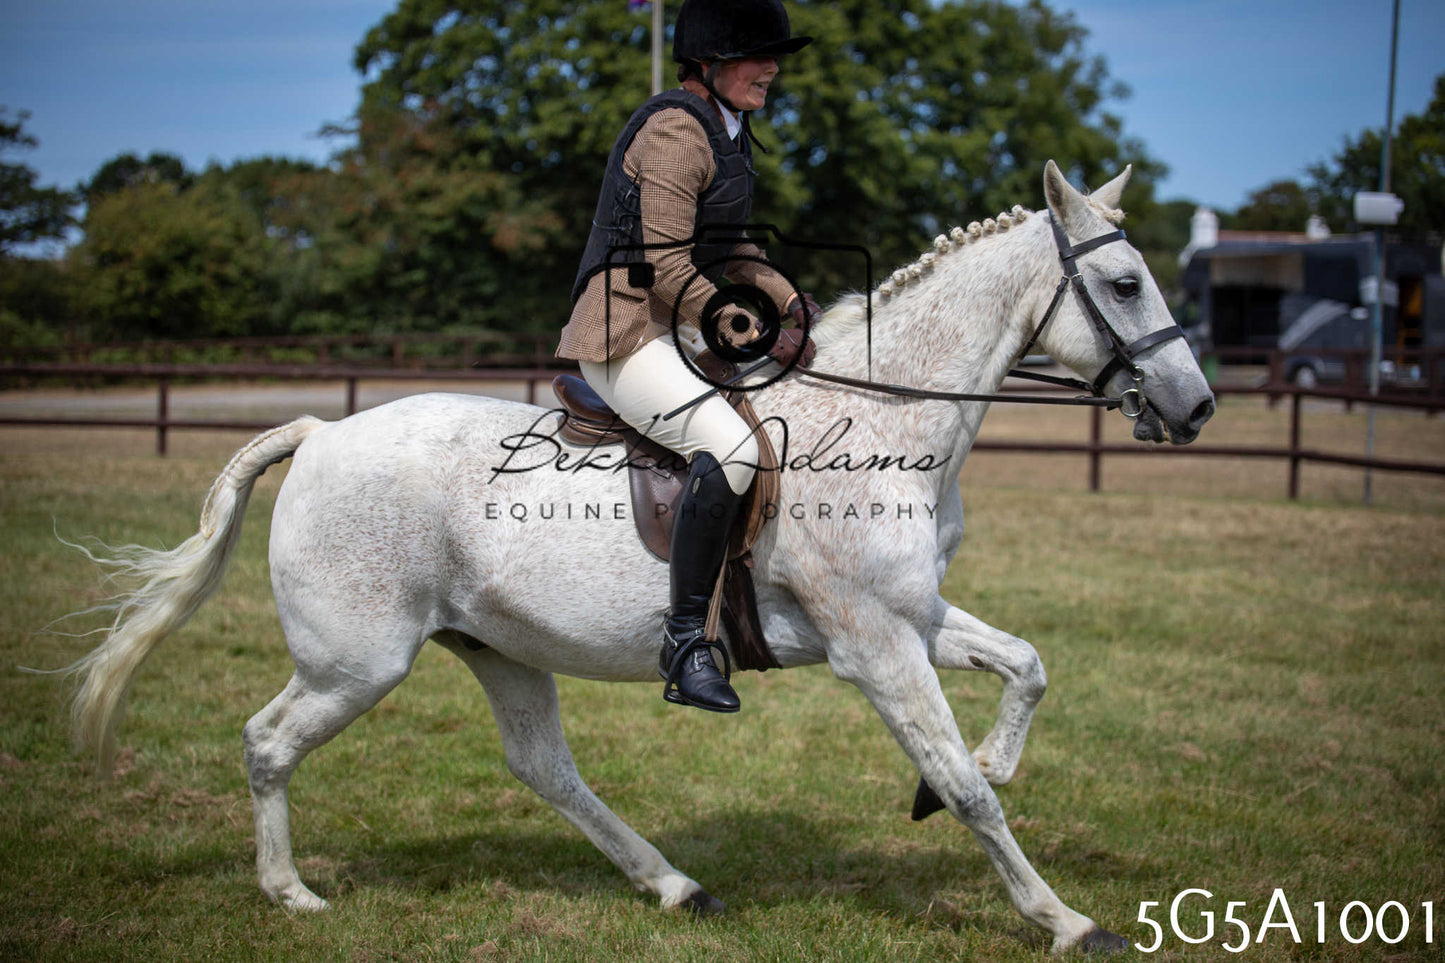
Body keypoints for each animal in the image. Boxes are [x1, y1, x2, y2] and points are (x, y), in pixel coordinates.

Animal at [59, 161, 1214, 954]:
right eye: (1122, 283)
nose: (1195, 408)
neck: (878, 418)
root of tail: (321, 432)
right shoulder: (874, 641)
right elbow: (969, 789)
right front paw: (1063, 918)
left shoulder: (913, 615)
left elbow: (1027, 669)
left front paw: (981, 768)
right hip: (357, 662)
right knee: (268, 742)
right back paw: (291, 892)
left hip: (496, 646)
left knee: (546, 770)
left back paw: (673, 885)